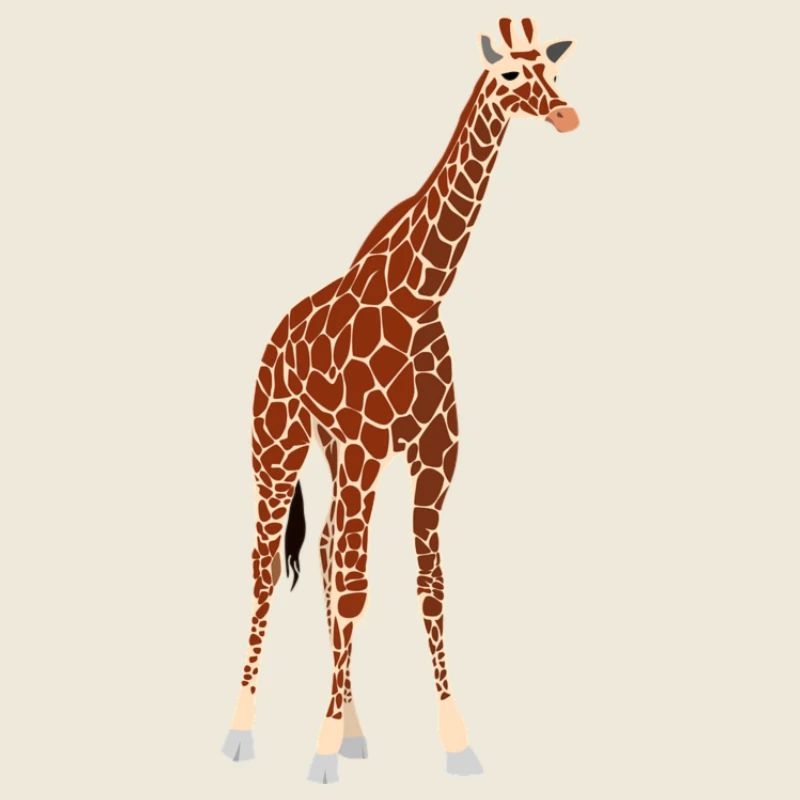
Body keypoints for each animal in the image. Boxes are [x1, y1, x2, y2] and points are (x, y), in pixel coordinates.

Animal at [222, 17, 580, 783]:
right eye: (510, 75)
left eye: (556, 72)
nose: (566, 115)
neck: (419, 300)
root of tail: (273, 338)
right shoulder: (365, 446)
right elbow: (356, 586)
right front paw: (321, 751)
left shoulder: (434, 455)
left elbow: (429, 586)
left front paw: (455, 742)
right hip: (278, 446)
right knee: (269, 567)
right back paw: (241, 730)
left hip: (336, 453)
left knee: (328, 549)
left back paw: (354, 728)